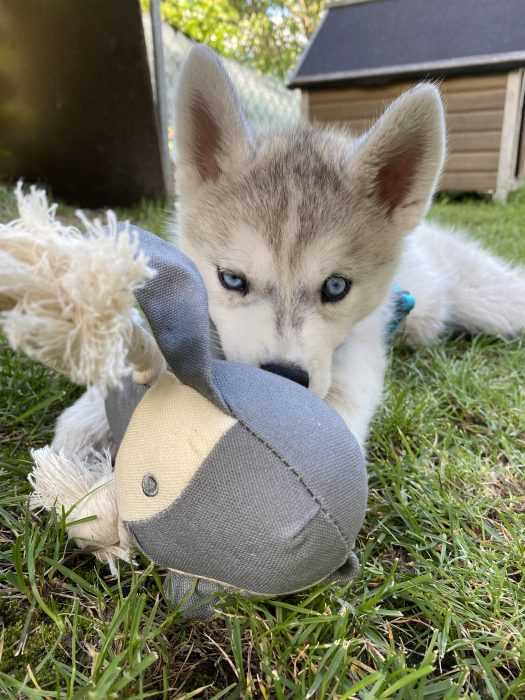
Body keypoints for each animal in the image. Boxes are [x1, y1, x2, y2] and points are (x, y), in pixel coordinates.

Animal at [54, 46, 524, 452]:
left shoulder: (358, 355)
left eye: (336, 287)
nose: (285, 377)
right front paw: (87, 419)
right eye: (232, 279)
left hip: (491, 300)